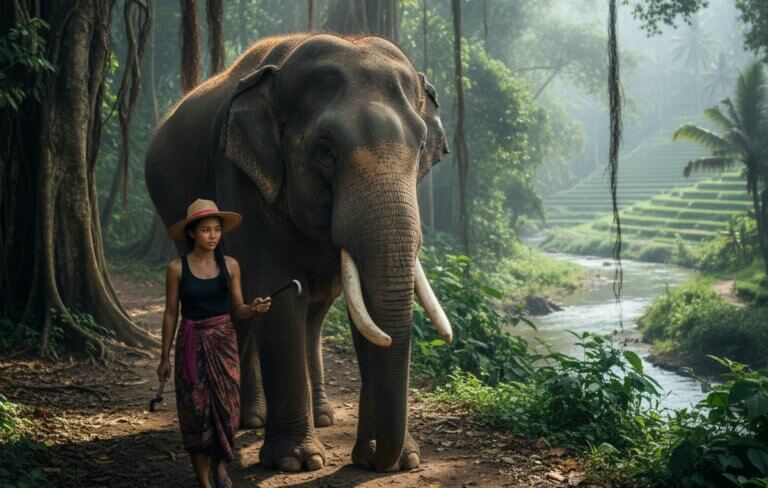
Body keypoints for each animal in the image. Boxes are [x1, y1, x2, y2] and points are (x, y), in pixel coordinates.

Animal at [145, 32, 452, 472]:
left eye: (421, 145)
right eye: (325, 150)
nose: (382, 458)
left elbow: (364, 316)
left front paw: (388, 458)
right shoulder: (241, 177)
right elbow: (277, 292)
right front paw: (297, 462)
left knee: (315, 313)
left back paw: (321, 417)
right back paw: (249, 419)